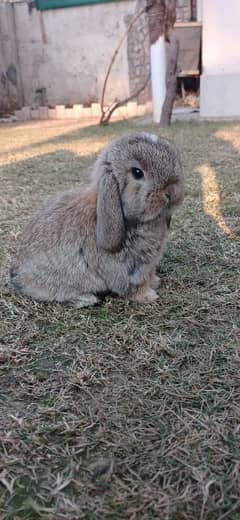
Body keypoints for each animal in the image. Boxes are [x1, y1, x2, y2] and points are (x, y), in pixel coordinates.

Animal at [9, 132, 184, 306]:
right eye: (137, 172)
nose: (172, 192)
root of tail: (17, 277)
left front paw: (156, 281)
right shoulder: (130, 270)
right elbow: (133, 287)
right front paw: (149, 296)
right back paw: (87, 299)